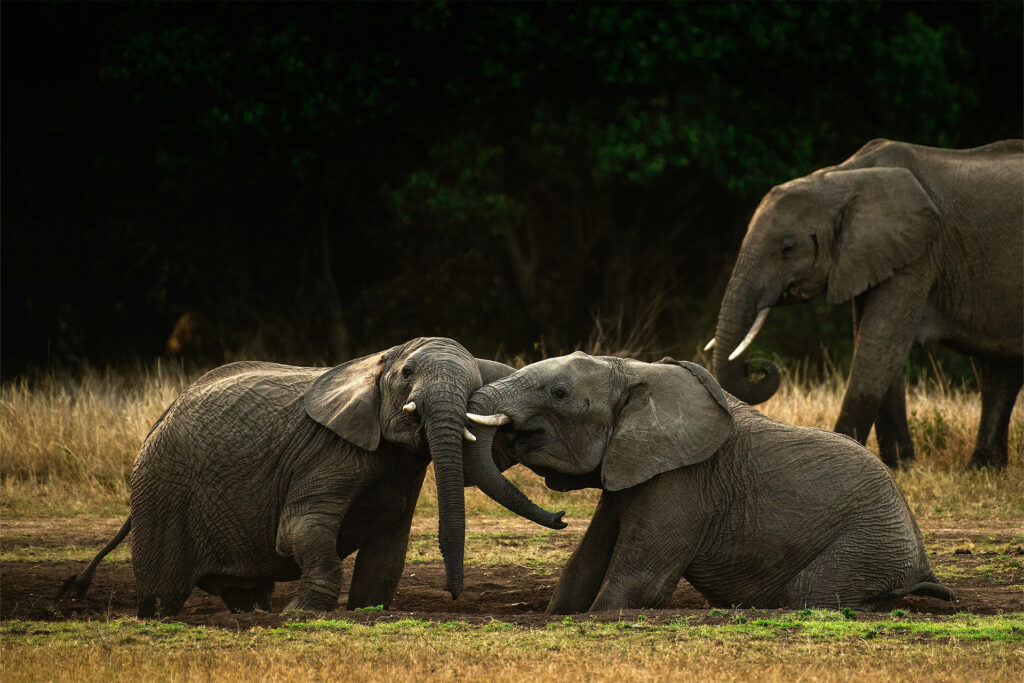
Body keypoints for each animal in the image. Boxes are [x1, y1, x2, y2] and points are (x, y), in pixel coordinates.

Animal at [59, 337, 564, 617]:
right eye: (407, 373)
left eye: (477, 379)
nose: (454, 595)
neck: (376, 361)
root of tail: (159, 419)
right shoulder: (324, 452)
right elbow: (300, 529)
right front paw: (302, 612)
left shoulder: (400, 471)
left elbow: (387, 550)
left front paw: (365, 610)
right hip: (162, 490)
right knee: (164, 594)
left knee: (240, 590)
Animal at [461, 352, 953, 613]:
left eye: (559, 393)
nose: (560, 517)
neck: (635, 370)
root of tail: (923, 561)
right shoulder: (634, 464)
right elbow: (583, 565)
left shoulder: (687, 481)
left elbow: (640, 583)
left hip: (869, 545)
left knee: (809, 592)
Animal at [706, 139, 1023, 469]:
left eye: (787, 248)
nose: (758, 366)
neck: (841, 178)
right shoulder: (870, 256)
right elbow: (875, 343)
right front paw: (900, 465)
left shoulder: (919, 254)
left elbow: (878, 344)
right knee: (998, 372)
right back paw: (982, 467)